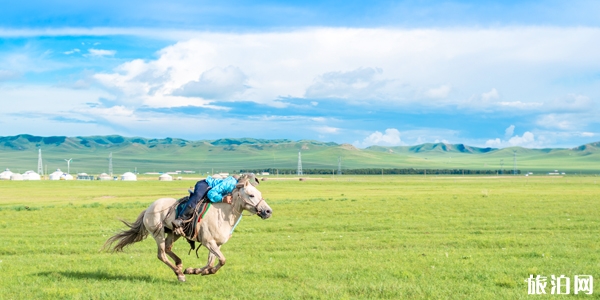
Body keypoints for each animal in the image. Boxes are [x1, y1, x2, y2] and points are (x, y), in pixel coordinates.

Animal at [103, 176, 272, 282]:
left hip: (173, 233)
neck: (223, 214)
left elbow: (212, 262)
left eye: (259, 193)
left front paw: (195, 270)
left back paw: (179, 265)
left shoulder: (216, 244)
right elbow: (221, 260)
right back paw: (179, 274)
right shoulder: (208, 242)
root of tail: (149, 208)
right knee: (162, 254)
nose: (268, 211)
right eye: (251, 195)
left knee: (169, 249)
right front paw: (195, 271)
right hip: (158, 234)